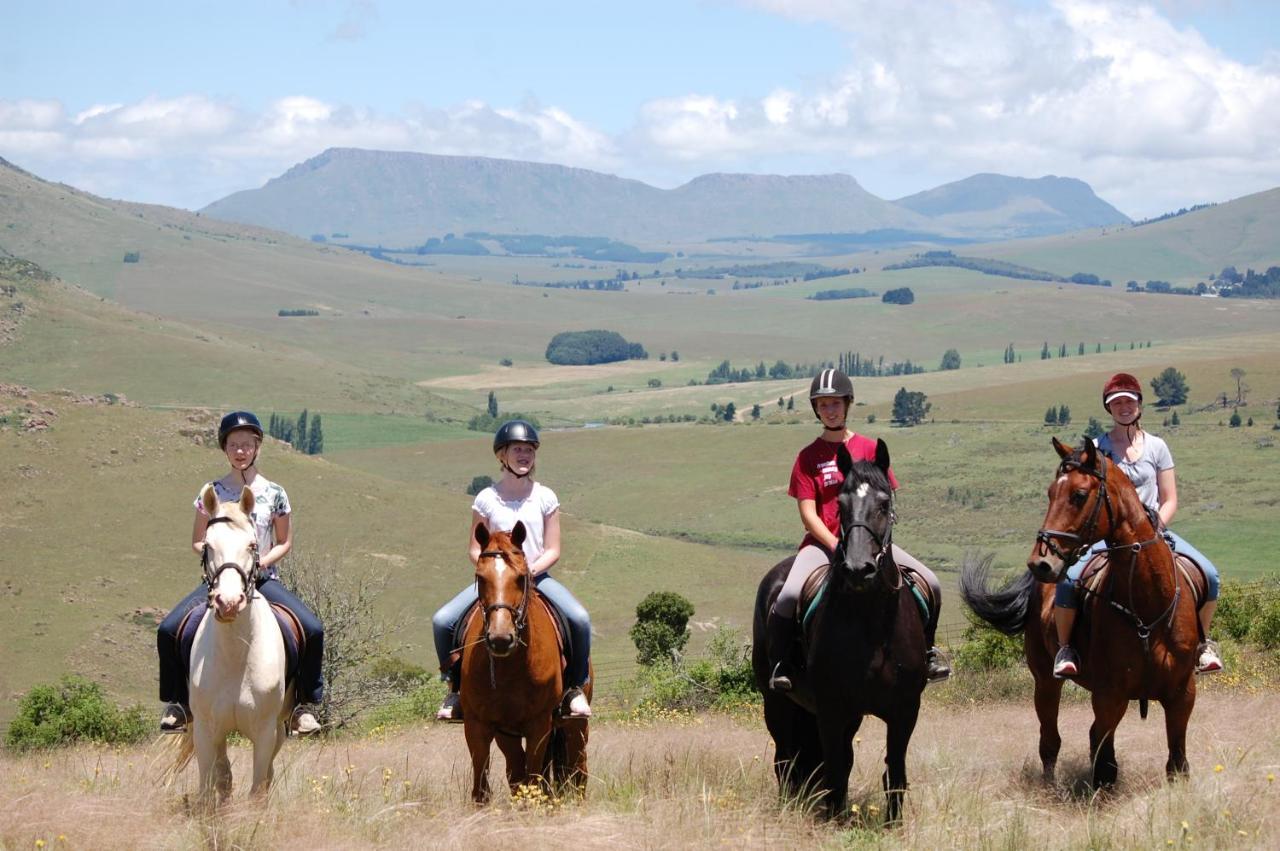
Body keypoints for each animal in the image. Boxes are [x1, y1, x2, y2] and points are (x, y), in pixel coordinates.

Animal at [167, 481, 290, 808]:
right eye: (207, 546)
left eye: (252, 545)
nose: (229, 603)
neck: (237, 654)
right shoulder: (206, 729)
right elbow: (213, 783)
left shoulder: (265, 732)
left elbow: (258, 788)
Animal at [460, 516, 588, 803]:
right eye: (480, 578)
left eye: (520, 577)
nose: (500, 638)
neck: (510, 667)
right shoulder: (479, 725)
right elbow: (482, 787)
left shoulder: (539, 724)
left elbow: (535, 777)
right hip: (509, 734)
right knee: (516, 773)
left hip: (576, 725)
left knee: (579, 769)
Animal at [747, 435, 926, 819]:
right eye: (841, 504)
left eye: (884, 502)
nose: (858, 569)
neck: (871, 621)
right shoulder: (831, 708)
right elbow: (834, 768)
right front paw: (835, 819)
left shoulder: (904, 710)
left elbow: (894, 771)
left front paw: (892, 824)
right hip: (776, 702)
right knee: (785, 759)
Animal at [962, 440, 1198, 788]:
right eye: (1050, 493)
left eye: (1079, 494)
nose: (1040, 563)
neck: (1146, 607)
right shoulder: (1109, 695)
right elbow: (1103, 757)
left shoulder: (1182, 694)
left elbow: (1177, 760)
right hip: (1045, 680)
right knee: (1050, 740)